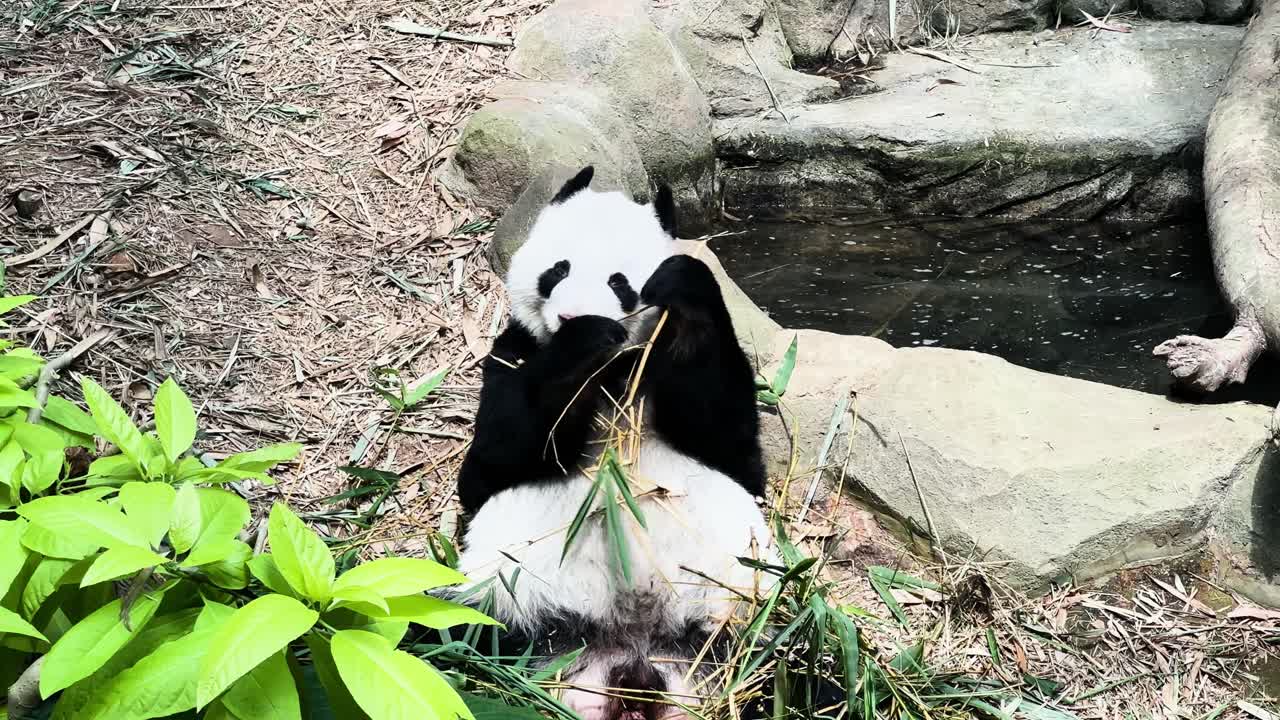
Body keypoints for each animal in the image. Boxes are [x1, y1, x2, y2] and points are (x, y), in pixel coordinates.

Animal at [453, 167, 787, 720]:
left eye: (619, 282)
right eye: (558, 269)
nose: (571, 317)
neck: (611, 374)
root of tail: (632, 664)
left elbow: (734, 447)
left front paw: (683, 286)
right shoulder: (512, 354)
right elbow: (490, 466)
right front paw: (583, 340)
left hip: (748, 621)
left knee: (804, 668)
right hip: (504, 608)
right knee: (445, 642)